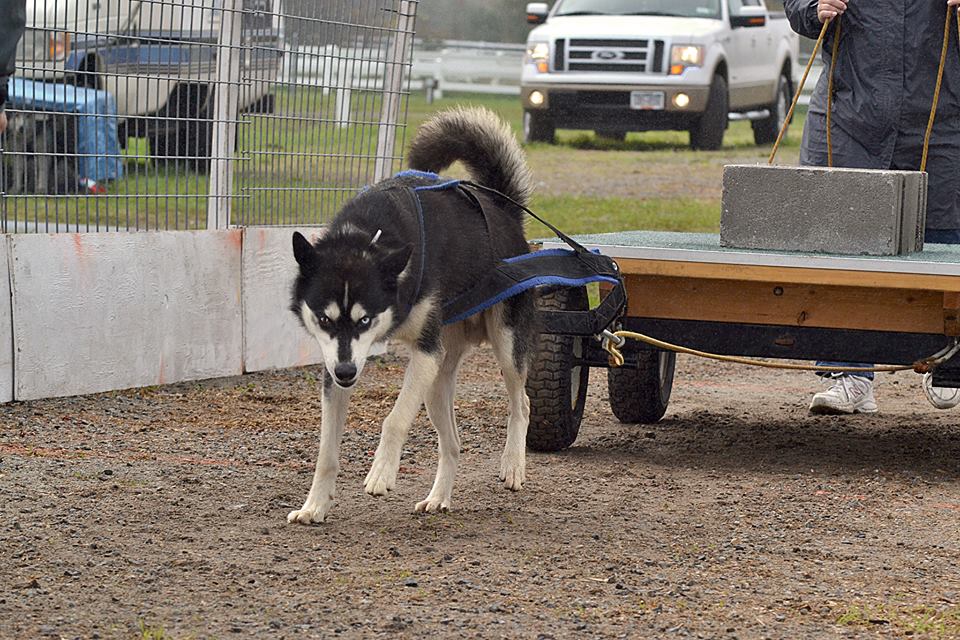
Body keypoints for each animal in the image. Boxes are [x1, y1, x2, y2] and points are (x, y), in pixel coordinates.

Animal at [284, 106, 540, 524]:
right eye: (324, 319)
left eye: (365, 320)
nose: (347, 373)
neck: (369, 237)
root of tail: (504, 211)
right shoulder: (334, 369)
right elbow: (326, 452)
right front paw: (315, 505)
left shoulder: (424, 353)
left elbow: (395, 418)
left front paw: (382, 472)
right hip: (436, 384)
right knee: (452, 444)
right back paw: (439, 496)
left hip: (504, 345)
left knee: (522, 404)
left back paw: (513, 464)